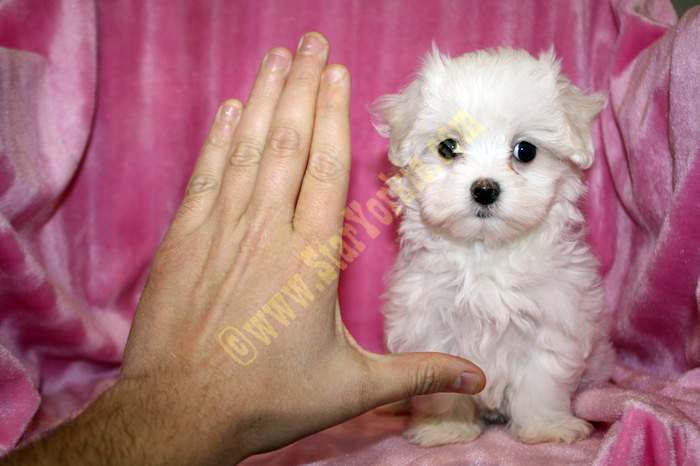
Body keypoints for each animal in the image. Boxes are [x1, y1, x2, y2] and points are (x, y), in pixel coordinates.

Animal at [378, 48, 612, 448]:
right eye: (448, 147)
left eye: (525, 150)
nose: (484, 189)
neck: (485, 252)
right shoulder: (433, 327)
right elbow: (444, 389)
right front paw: (446, 429)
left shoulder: (553, 318)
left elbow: (541, 382)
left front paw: (546, 428)